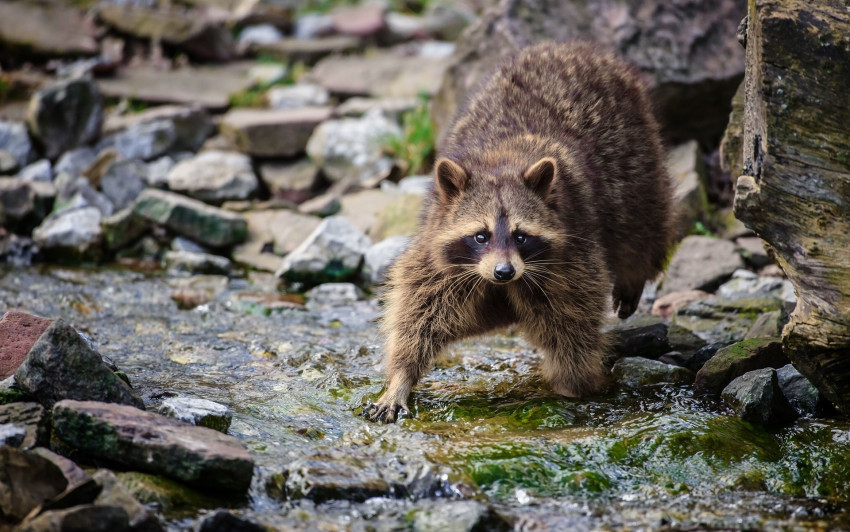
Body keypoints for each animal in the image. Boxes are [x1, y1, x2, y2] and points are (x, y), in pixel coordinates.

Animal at [364, 41, 676, 422]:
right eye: (481, 236)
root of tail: (569, 46)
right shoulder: (437, 254)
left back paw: (635, 272)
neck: (501, 163)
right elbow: (417, 313)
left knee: (642, 221)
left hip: (634, 158)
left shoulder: (572, 254)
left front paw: (575, 383)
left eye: (521, 236)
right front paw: (401, 377)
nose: (504, 271)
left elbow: (573, 322)